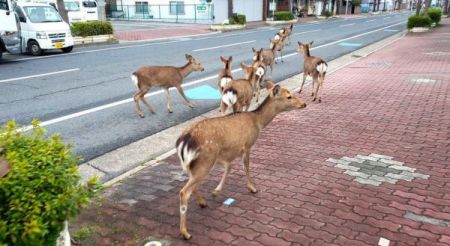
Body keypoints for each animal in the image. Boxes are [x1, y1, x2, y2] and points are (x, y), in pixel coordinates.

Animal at [176, 80, 306, 240]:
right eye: (288, 96)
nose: (304, 104)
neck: (257, 122)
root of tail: (183, 141)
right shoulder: (247, 144)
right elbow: (247, 166)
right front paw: (252, 187)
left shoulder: (228, 152)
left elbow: (229, 168)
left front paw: (216, 191)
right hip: (205, 161)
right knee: (184, 192)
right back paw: (185, 232)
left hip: (193, 165)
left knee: (191, 186)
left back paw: (202, 203)